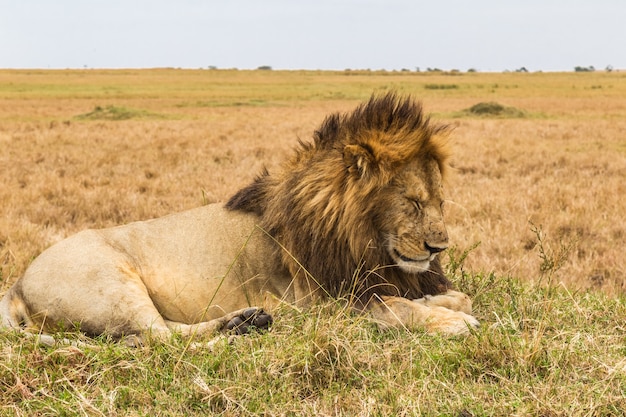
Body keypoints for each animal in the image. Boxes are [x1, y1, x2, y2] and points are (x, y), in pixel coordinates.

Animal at [1, 92, 478, 342]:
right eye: (412, 201)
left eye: (440, 202)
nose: (439, 247)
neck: (365, 243)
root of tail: (16, 285)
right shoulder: (319, 305)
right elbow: (392, 309)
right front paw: (451, 320)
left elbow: (425, 297)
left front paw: (447, 303)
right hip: (112, 283)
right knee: (159, 340)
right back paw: (234, 333)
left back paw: (245, 322)